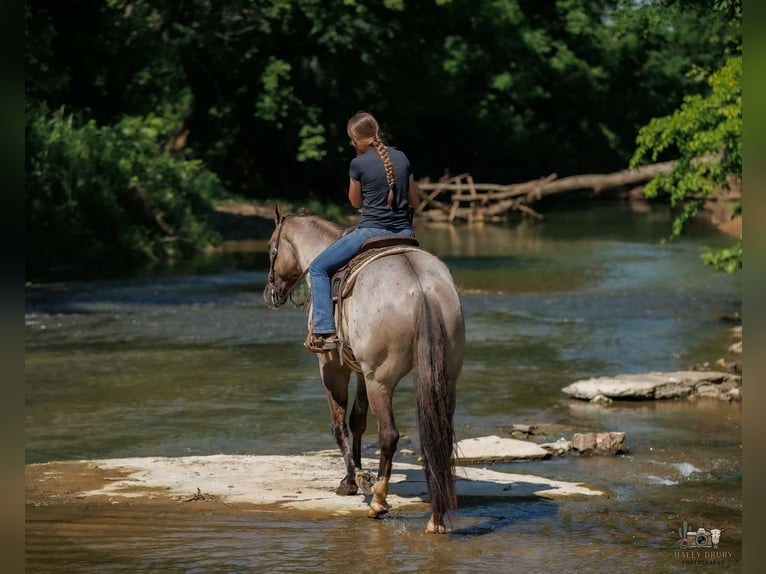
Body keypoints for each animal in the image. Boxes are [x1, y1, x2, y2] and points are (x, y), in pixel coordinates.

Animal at [263, 204, 465, 533]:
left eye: (271, 249)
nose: (269, 294)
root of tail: (422, 288)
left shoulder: (332, 366)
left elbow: (338, 423)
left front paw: (351, 480)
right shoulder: (359, 370)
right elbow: (357, 420)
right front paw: (357, 473)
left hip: (380, 381)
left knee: (389, 435)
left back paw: (379, 502)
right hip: (445, 378)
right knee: (440, 437)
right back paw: (436, 518)